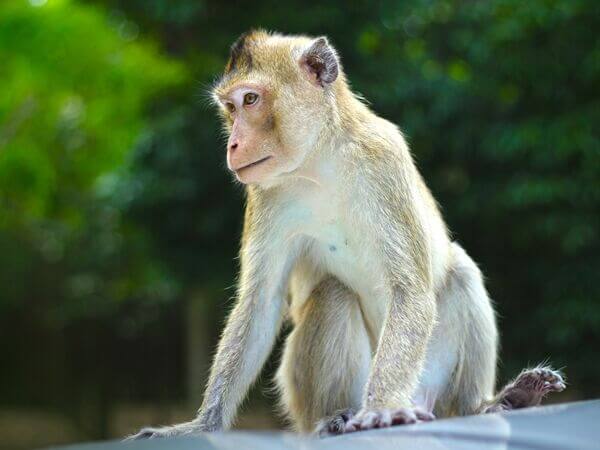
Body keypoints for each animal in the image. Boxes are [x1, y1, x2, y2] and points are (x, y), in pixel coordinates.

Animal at [127, 29, 568, 438]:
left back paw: (486, 404)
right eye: (230, 108)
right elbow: (261, 303)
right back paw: (336, 417)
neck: (320, 160)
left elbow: (410, 289)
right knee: (333, 294)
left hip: (429, 381)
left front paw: (383, 406)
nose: (233, 144)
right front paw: (202, 424)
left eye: (250, 100)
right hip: (304, 393)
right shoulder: (265, 194)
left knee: (460, 272)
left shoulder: (384, 159)